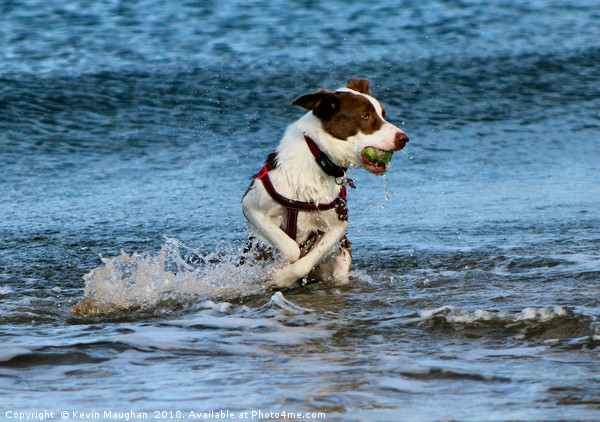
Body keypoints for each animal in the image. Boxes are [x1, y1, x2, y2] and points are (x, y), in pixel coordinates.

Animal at [240, 78, 408, 290]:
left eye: (383, 114)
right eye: (365, 115)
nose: (404, 139)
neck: (318, 159)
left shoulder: (338, 226)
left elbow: (304, 262)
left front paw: (283, 277)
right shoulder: (252, 207)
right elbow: (291, 248)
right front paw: (278, 269)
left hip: (342, 261)